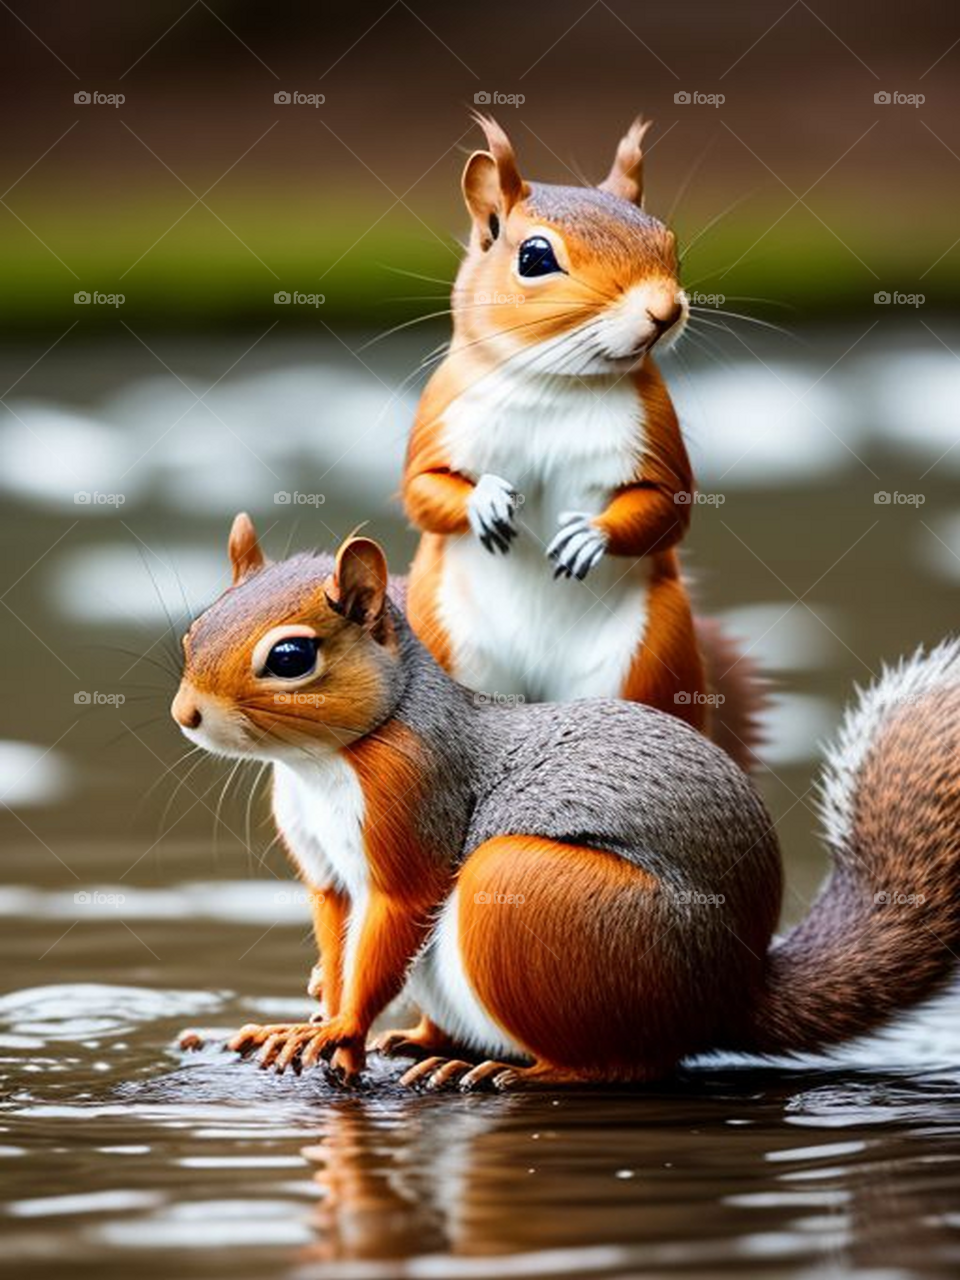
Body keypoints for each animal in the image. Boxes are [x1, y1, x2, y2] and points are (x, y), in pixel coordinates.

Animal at [172, 515, 960, 1090]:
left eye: (291, 657)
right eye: (193, 630)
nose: (186, 715)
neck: (324, 762)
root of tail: (730, 993)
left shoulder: (414, 805)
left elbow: (396, 914)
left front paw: (337, 1028)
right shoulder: (330, 880)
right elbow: (340, 945)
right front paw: (314, 1024)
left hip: (535, 896)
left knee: (623, 1065)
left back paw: (518, 1071)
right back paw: (423, 1041)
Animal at [400, 116, 758, 758]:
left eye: (667, 239)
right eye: (535, 256)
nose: (665, 311)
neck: (554, 382)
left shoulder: (654, 432)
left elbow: (668, 506)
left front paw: (587, 535)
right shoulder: (443, 415)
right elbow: (424, 489)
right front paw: (487, 501)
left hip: (647, 658)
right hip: (453, 643)